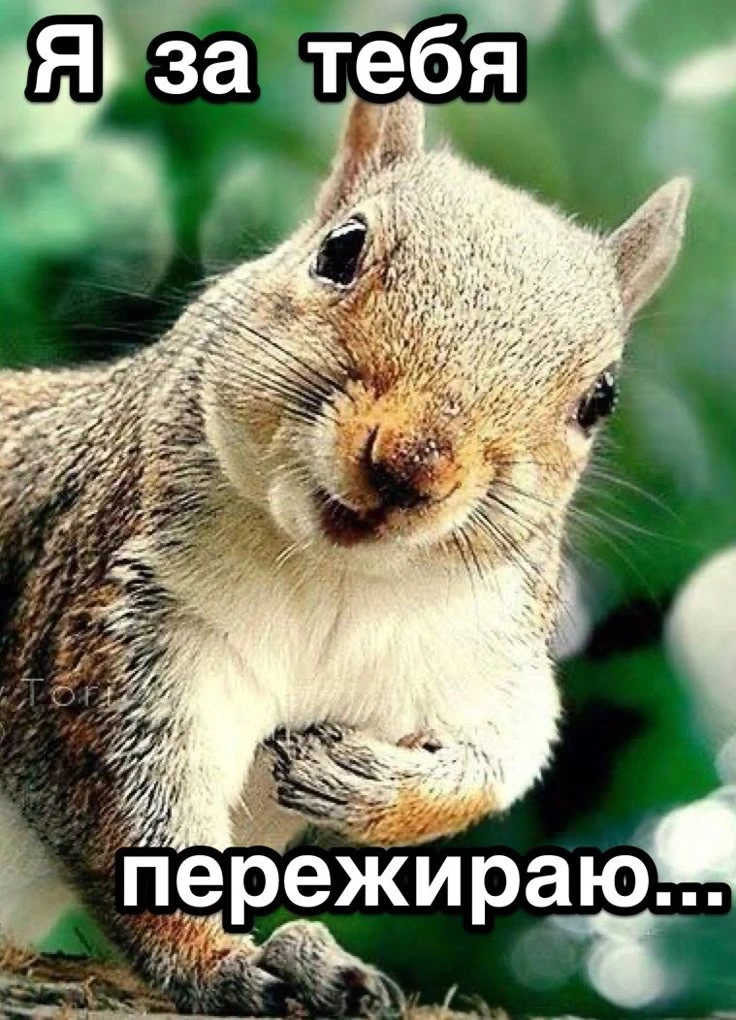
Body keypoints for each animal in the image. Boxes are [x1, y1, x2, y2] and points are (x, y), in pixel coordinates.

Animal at [0, 95, 689, 1016]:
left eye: (599, 398)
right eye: (340, 250)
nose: (411, 462)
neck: (337, 577)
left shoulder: (484, 651)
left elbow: (508, 750)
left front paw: (371, 785)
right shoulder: (116, 620)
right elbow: (132, 809)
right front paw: (215, 960)